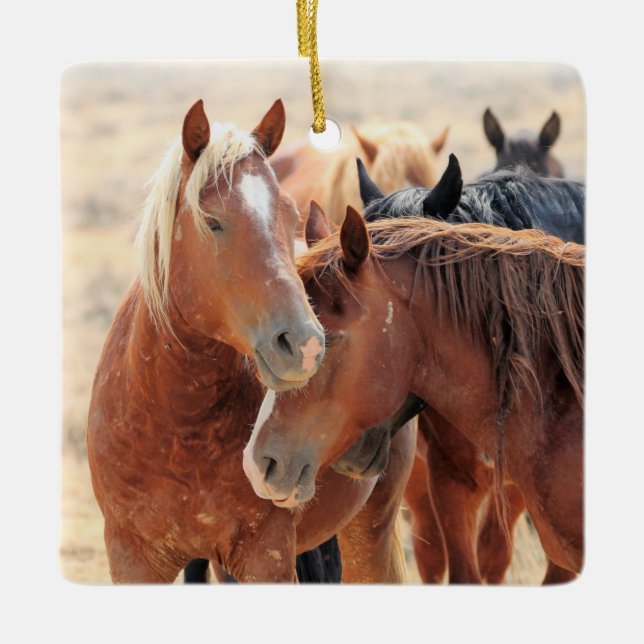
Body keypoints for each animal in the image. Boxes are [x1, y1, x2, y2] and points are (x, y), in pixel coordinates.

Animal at [87, 99, 412, 583]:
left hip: (370, 527)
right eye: (214, 222)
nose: (306, 345)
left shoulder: (266, 556)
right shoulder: (131, 558)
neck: (176, 426)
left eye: (290, 215)